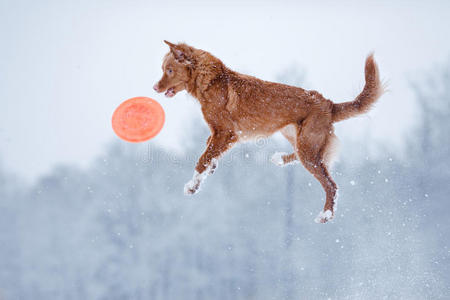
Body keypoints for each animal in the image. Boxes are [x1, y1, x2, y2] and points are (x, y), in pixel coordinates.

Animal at [155, 40, 384, 223]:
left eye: (169, 70)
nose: (154, 88)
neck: (210, 80)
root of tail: (328, 104)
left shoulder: (226, 132)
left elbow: (202, 159)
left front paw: (192, 185)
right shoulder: (219, 134)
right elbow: (208, 151)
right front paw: (211, 168)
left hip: (308, 149)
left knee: (332, 185)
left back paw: (326, 214)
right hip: (297, 138)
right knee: (310, 159)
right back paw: (280, 158)